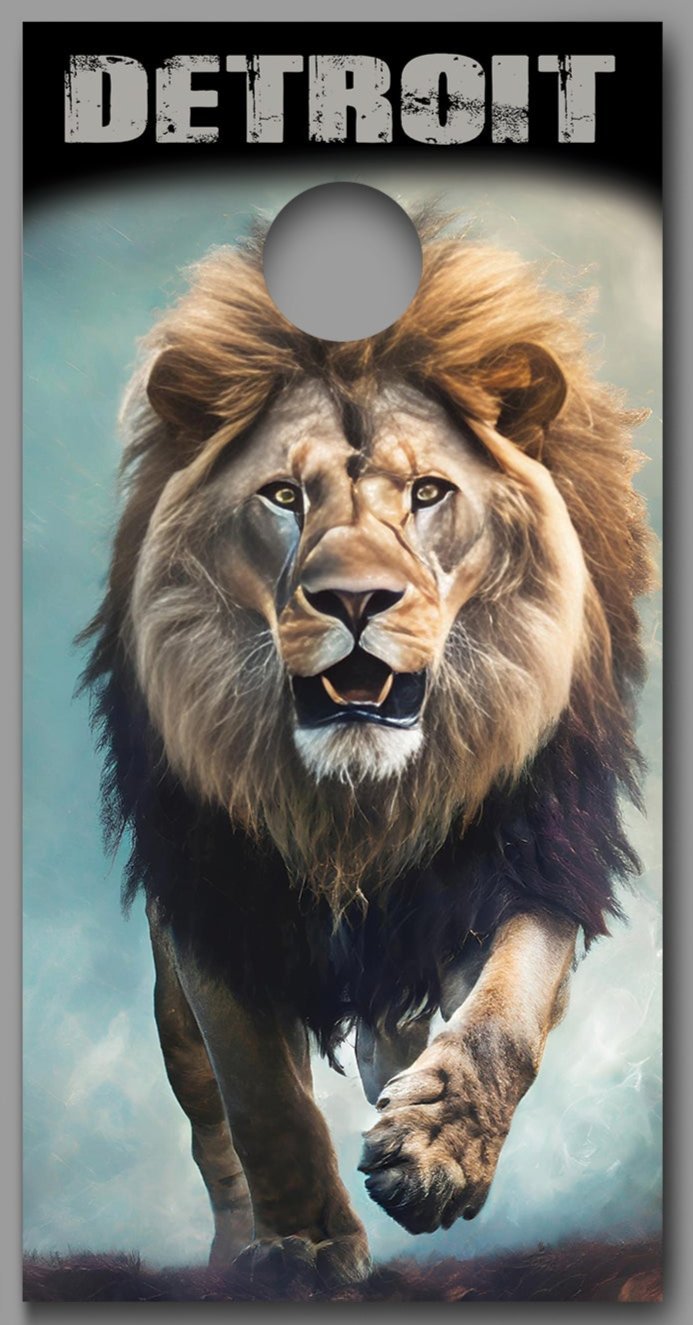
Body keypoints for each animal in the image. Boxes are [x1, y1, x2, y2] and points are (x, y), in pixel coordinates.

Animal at [80, 215, 654, 1291]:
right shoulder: (216, 895)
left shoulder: (534, 853)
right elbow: (262, 1097)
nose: (354, 599)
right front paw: (303, 1243)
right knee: (213, 1126)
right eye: (282, 496)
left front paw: (435, 1152)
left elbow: (505, 1014)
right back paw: (238, 1248)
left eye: (428, 491)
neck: (358, 802)